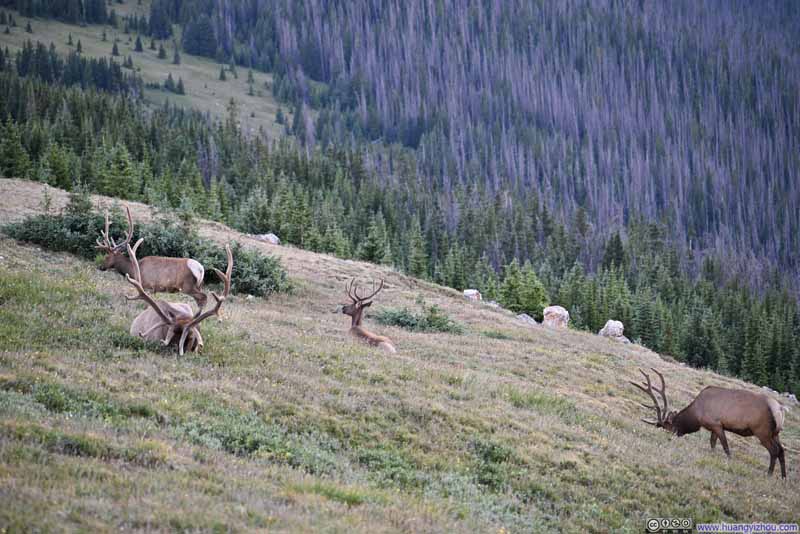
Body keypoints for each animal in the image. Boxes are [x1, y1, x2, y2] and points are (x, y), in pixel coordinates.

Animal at [630, 368, 787, 478]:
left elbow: (725, 447)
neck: (696, 414)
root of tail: (779, 409)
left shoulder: (716, 424)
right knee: (781, 450)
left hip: (762, 431)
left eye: (669, 428)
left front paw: (729, 462)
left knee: (774, 451)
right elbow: (712, 444)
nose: (672, 438)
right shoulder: (714, 427)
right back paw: (783, 478)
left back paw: (769, 474)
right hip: (775, 433)